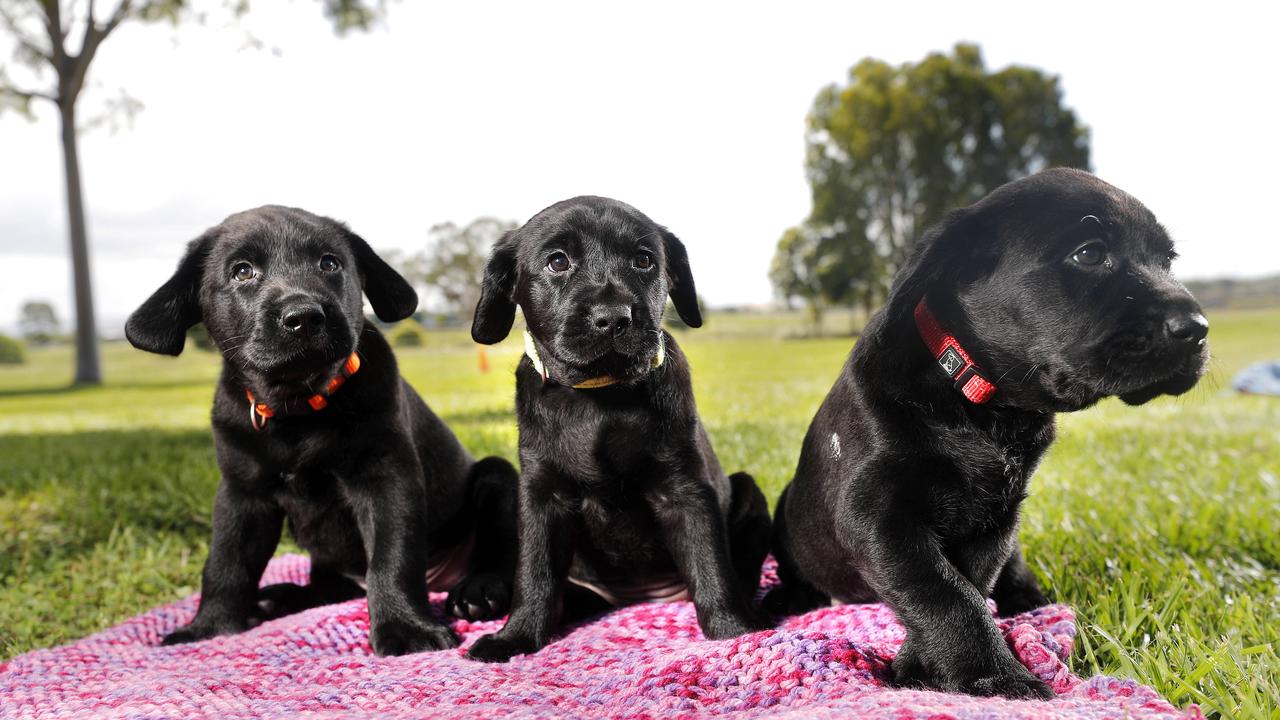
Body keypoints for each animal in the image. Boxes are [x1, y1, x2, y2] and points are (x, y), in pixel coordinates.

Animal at [123, 204, 514, 653]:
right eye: (242, 271)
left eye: (329, 263)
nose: (304, 317)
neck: (297, 410)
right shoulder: (242, 494)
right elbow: (226, 563)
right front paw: (209, 628)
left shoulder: (386, 477)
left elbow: (392, 558)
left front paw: (405, 628)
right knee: (328, 591)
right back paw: (275, 599)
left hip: (497, 475)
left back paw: (478, 591)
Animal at [468, 193, 773, 661]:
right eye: (557, 261)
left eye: (644, 260)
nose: (613, 317)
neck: (601, 397)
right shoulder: (541, 494)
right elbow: (535, 574)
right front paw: (516, 636)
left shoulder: (684, 488)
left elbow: (710, 564)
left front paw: (735, 630)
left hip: (749, 491)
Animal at [762, 167, 1213, 696]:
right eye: (1089, 253)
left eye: (1167, 261)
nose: (1198, 328)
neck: (982, 405)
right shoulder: (875, 514)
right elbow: (942, 591)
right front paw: (995, 678)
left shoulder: (996, 519)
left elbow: (969, 587)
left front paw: (926, 666)